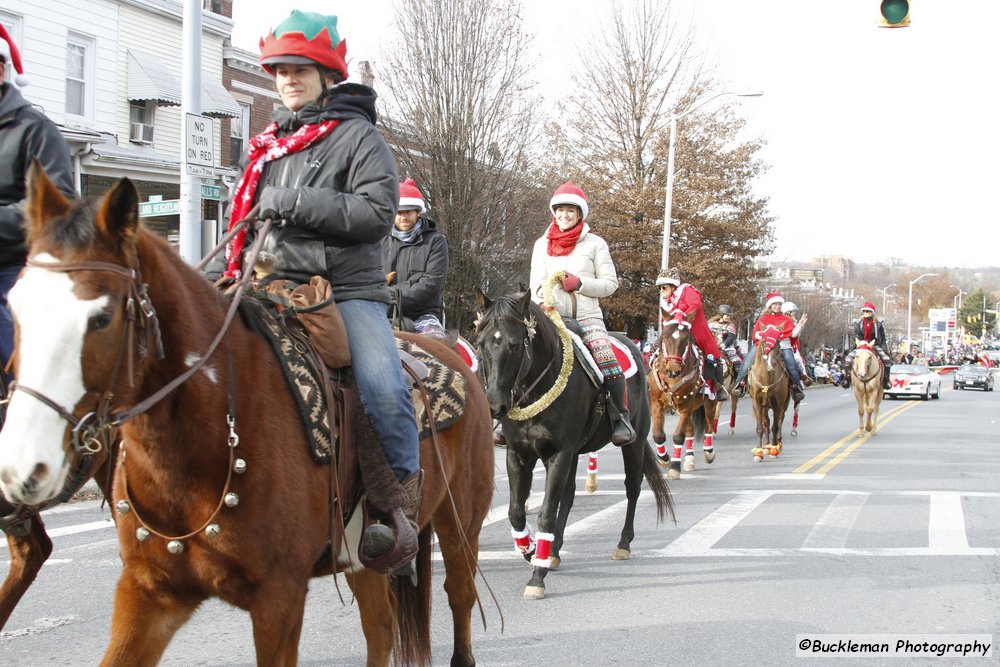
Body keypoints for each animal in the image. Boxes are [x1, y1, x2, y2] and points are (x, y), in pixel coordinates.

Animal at [0, 168, 496, 667]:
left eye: (101, 317)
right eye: (15, 305)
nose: (20, 467)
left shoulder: (279, 596)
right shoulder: (149, 592)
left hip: (460, 523)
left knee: (459, 595)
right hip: (364, 557)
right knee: (380, 627)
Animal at [474, 290, 676, 600]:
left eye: (515, 344)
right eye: (480, 344)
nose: (495, 405)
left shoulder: (559, 453)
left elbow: (546, 513)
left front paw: (537, 575)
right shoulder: (519, 454)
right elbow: (516, 512)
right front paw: (531, 550)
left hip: (634, 443)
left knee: (632, 488)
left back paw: (623, 544)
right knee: (568, 496)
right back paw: (553, 551)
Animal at [648, 320, 720, 480]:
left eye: (686, 339)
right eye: (666, 337)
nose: (673, 370)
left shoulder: (686, 406)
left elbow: (678, 436)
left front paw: (674, 467)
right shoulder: (657, 404)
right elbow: (658, 435)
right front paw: (665, 460)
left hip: (709, 402)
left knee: (709, 424)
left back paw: (709, 452)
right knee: (690, 430)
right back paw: (689, 460)